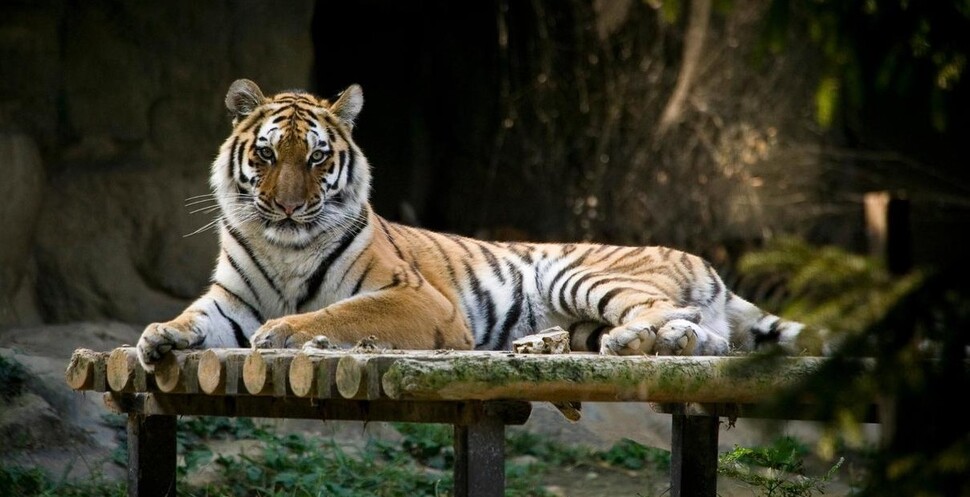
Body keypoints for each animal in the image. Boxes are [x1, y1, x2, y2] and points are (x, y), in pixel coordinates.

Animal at [134, 79, 832, 370]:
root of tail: (706, 261)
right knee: (708, 339)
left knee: (681, 323)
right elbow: (195, 319)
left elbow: (343, 310)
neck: (284, 247)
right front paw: (158, 338)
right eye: (266, 155)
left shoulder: (418, 298)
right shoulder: (230, 300)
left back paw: (630, 343)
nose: (284, 207)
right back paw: (553, 346)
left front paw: (288, 333)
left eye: (317, 159)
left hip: (580, 274)